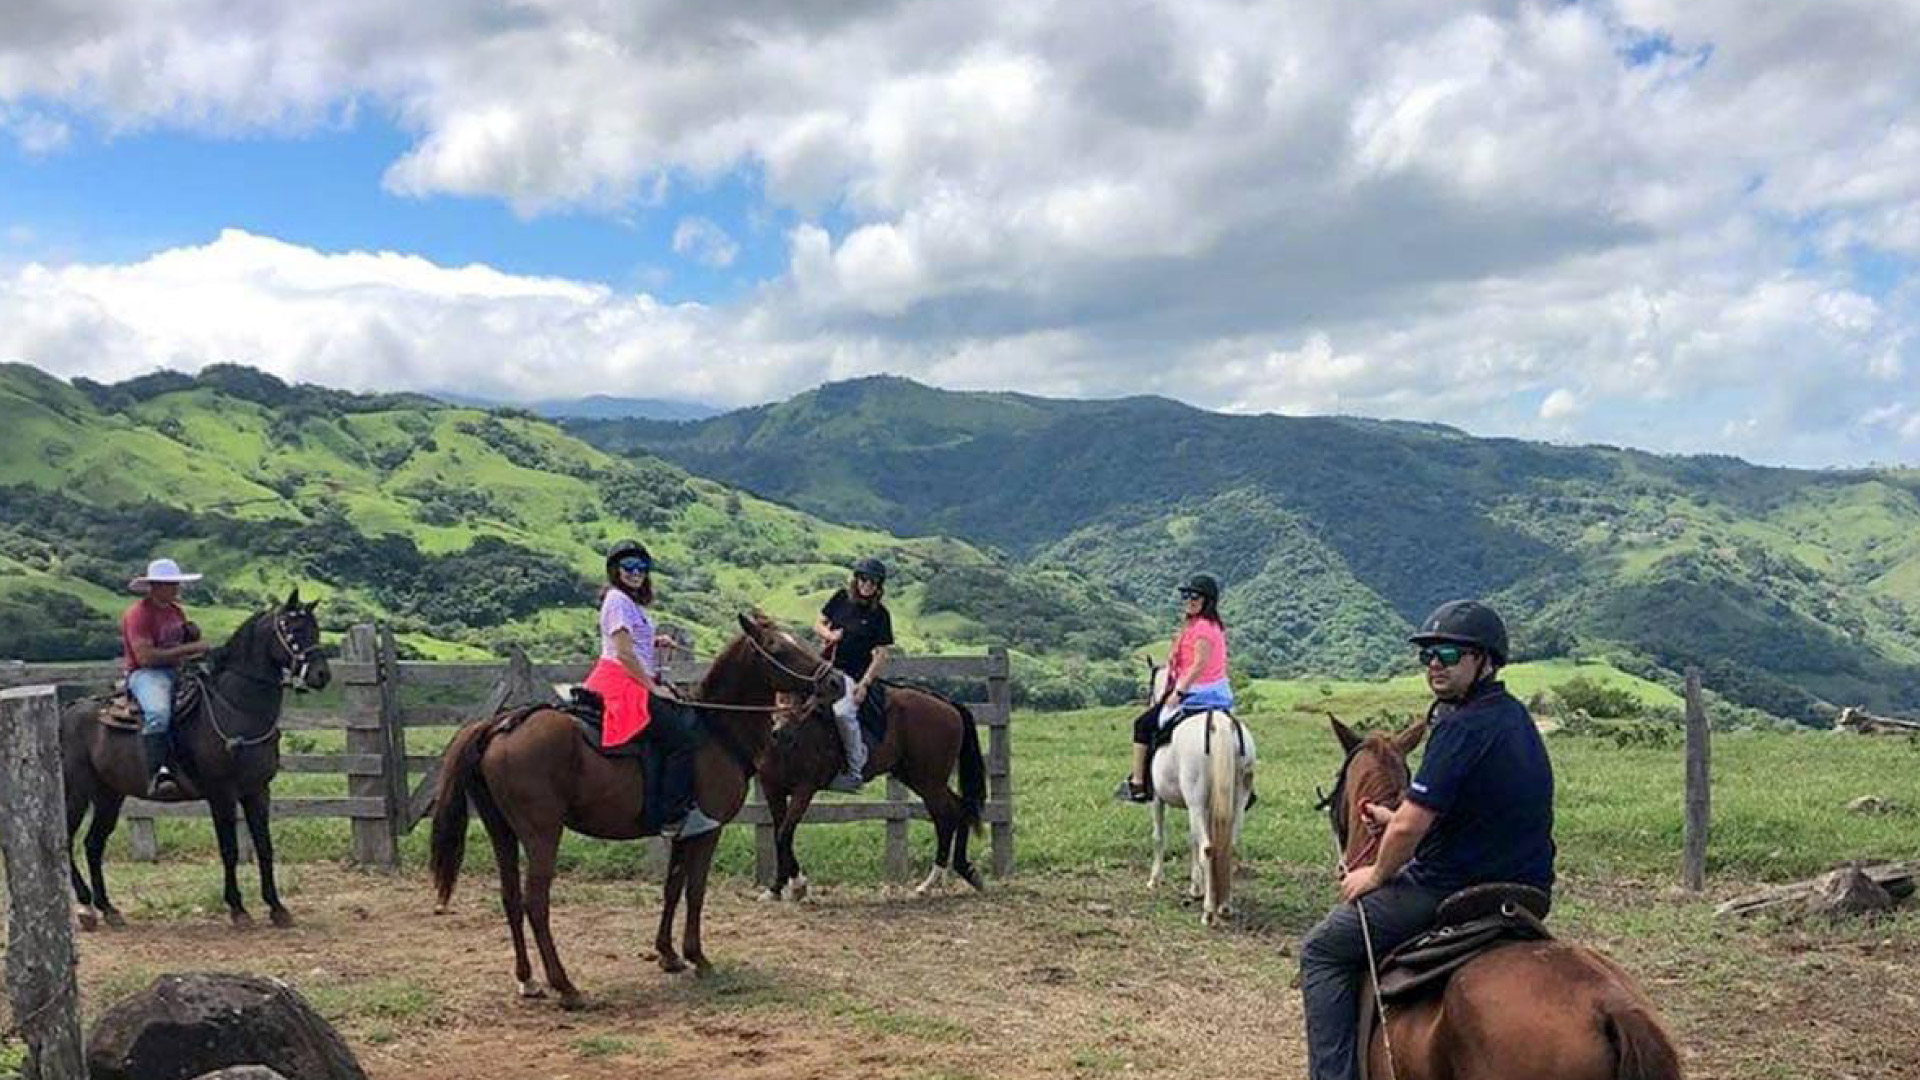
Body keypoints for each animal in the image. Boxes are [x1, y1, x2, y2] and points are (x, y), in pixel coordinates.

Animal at [60, 588, 334, 926]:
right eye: (293, 629)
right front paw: (238, 908)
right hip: (77, 791)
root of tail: (68, 711)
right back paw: (85, 906)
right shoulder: (221, 793)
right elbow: (229, 849)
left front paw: (277, 907)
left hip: (109, 794)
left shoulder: (258, 790)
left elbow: (265, 846)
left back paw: (107, 908)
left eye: (315, 628)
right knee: (66, 841)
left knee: (93, 844)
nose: (321, 675)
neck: (235, 707)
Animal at [435, 611, 840, 1006]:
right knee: (535, 903)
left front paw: (668, 954)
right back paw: (565, 986)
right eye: (777, 647)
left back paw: (528, 980)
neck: (716, 731)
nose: (835, 681)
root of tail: (499, 726)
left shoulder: (683, 831)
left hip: (501, 831)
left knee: (510, 899)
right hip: (541, 834)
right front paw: (698, 957)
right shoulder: (708, 829)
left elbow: (672, 887)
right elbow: (696, 891)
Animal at [752, 676, 983, 895]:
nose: (782, 732)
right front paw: (777, 887)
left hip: (929, 782)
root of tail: (948, 705)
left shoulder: (804, 790)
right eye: (778, 696)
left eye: (804, 697)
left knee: (948, 816)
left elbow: (784, 834)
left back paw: (931, 881)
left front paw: (796, 887)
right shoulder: (773, 790)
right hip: (918, 779)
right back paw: (962, 871)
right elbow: (779, 834)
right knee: (957, 810)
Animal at [1144, 661, 1251, 922]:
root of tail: (1219, 723)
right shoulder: (1198, 807)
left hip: (1196, 800)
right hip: (1236, 800)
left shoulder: (1158, 799)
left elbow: (1159, 836)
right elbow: (1192, 839)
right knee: (1227, 846)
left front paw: (1155, 879)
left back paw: (1209, 911)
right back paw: (1225, 906)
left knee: (1208, 848)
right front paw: (1196, 887)